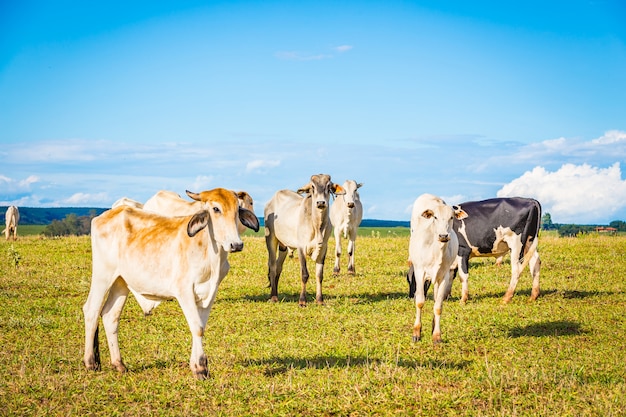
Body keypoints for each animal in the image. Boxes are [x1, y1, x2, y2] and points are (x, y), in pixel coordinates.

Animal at [82, 188, 258, 380]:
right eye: (216, 209)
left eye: (237, 209)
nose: (236, 244)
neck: (211, 254)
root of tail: (108, 214)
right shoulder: (184, 291)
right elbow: (196, 327)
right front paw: (200, 368)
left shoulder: (210, 293)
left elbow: (201, 327)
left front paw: (197, 365)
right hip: (102, 275)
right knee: (91, 310)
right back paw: (90, 362)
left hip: (120, 281)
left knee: (110, 316)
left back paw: (119, 364)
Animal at [262, 173, 344, 306]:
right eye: (313, 187)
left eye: (328, 186)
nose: (320, 202)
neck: (317, 225)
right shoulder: (301, 248)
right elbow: (304, 274)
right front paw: (302, 301)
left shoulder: (323, 248)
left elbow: (319, 275)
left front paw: (320, 300)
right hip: (271, 239)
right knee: (273, 266)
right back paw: (273, 296)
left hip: (284, 246)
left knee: (279, 267)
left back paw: (275, 293)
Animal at [408, 193, 466, 342]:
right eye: (435, 217)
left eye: (451, 217)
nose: (443, 235)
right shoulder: (420, 273)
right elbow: (420, 301)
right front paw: (416, 332)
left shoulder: (444, 276)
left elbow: (438, 305)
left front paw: (437, 335)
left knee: (435, 298)